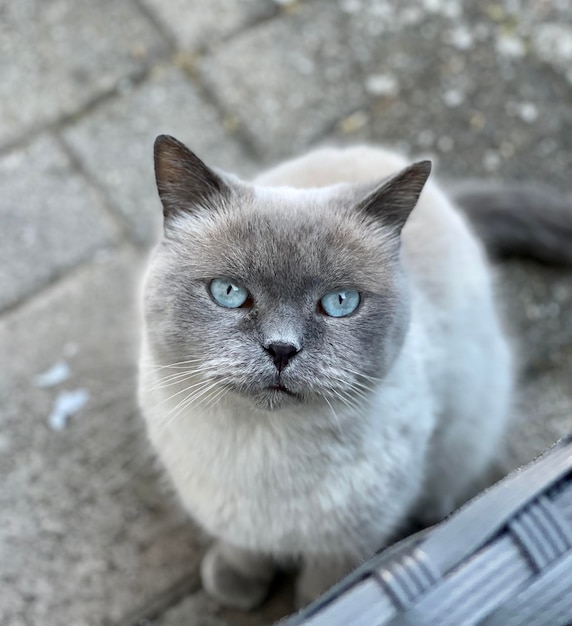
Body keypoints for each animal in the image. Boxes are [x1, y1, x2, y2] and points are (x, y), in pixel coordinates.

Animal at [139, 134, 572, 608]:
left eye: (340, 303)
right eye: (229, 293)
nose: (281, 349)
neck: (267, 447)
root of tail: (448, 199)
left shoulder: (350, 541)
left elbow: (325, 586)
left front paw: (310, 605)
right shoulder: (228, 513)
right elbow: (243, 548)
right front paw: (237, 588)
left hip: (468, 424)